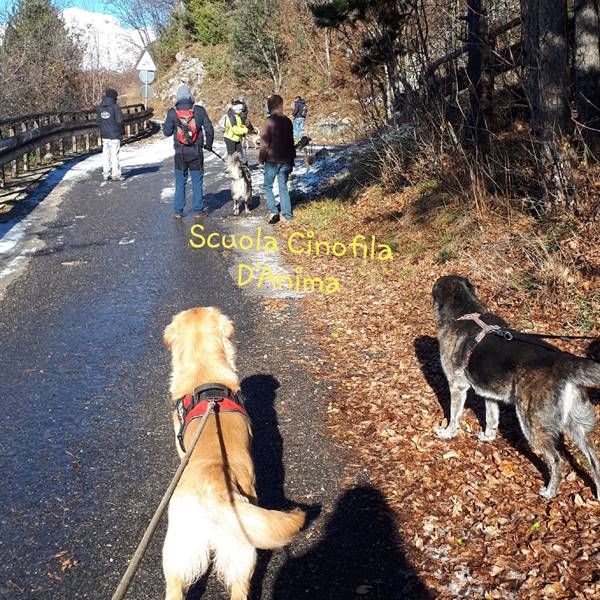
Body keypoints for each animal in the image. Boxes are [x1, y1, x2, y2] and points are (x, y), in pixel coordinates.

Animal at [434, 274, 600, 500]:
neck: (466, 312)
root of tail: (563, 362)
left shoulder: (457, 387)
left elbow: (454, 415)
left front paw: (448, 433)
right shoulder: (489, 395)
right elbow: (491, 419)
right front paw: (488, 437)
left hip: (532, 423)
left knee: (557, 460)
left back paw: (550, 492)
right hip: (577, 425)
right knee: (594, 460)